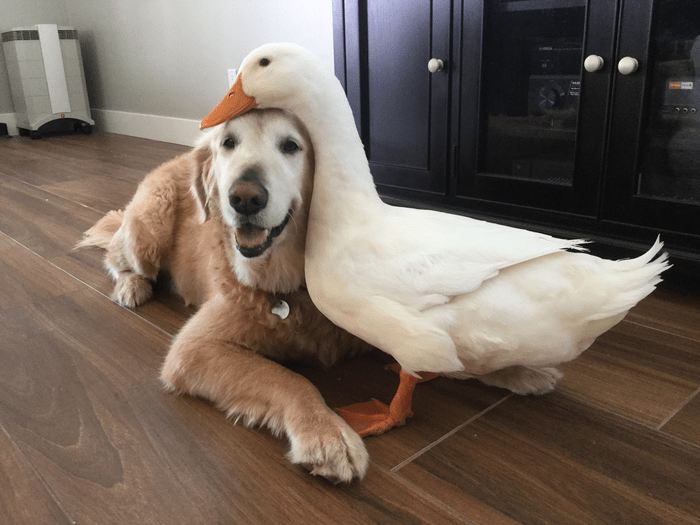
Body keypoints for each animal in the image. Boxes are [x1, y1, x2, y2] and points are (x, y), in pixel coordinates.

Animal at [77, 108, 372, 482]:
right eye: (229, 142)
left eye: (291, 146)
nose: (244, 197)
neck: (288, 284)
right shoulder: (193, 349)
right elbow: (289, 378)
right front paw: (326, 433)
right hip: (148, 229)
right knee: (117, 257)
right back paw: (131, 286)